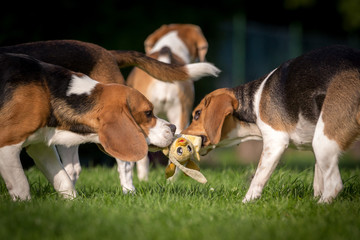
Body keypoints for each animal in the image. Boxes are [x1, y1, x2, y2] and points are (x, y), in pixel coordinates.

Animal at [0, 40, 221, 192]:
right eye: (148, 113)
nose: (174, 128)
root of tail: (106, 52)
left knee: (123, 164)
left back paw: (129, 192)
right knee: (72, 169)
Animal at [184, 45, 360, 202]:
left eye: (197, 114)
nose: (181, 133)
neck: (254, 102)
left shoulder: (275, 142)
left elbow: (258, 178)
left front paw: (246, 202)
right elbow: (318, 182)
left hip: (323, 141)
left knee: (334, 185)